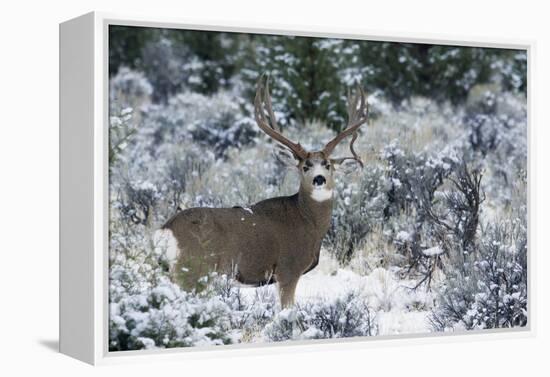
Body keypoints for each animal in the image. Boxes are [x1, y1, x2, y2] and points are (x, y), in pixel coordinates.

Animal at [156, 75, 370, 306]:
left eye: (328, 165)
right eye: (305, 166)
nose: (319, 179)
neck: (307, 221)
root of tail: (165, 231)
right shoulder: (288, 269)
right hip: (192, 269)